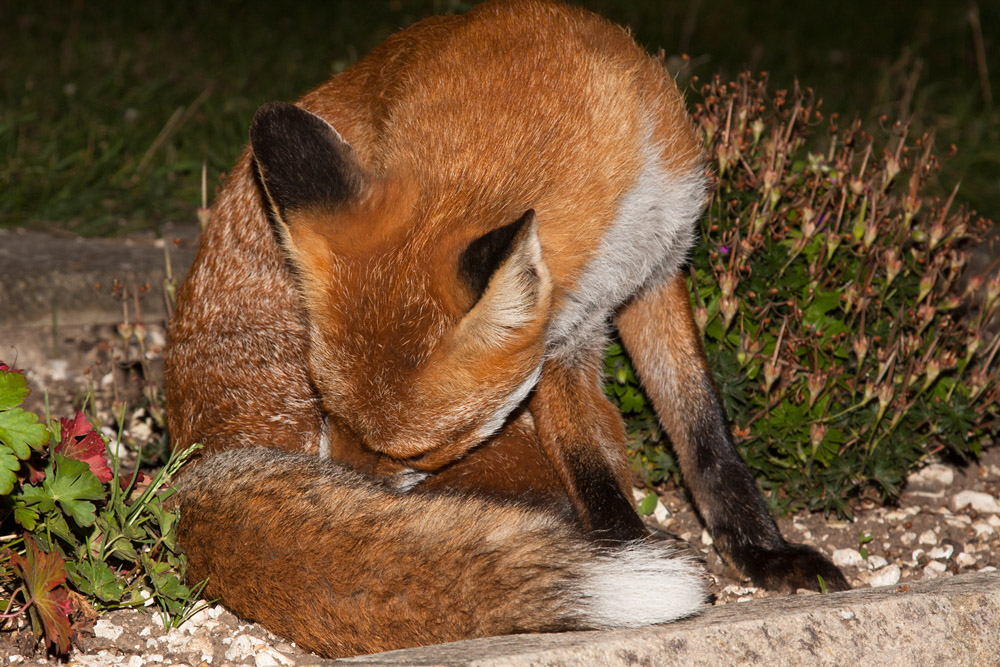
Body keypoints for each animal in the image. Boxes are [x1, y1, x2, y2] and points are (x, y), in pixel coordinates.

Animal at [165, 0, 848, 658]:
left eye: (421, 452)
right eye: (328, 409)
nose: (340, 487)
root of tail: (192, 466)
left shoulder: (658, 270)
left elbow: (703, 432)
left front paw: (763, 550)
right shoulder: (561, 342)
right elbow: (593, 468)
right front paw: (635, 552)